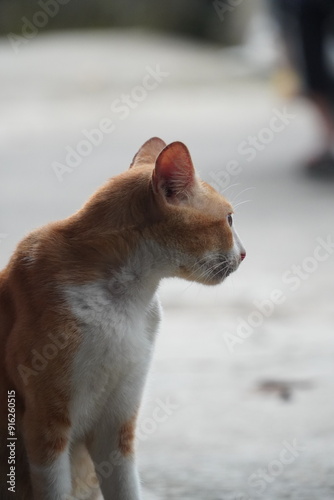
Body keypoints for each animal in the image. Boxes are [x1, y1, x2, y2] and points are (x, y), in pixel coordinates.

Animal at [0, 138, 245, 500]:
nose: (244, 253)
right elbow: (56, 488)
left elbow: (126, 487)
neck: (125, 300)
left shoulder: (117, 424)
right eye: (228, 220)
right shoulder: (46, 427)